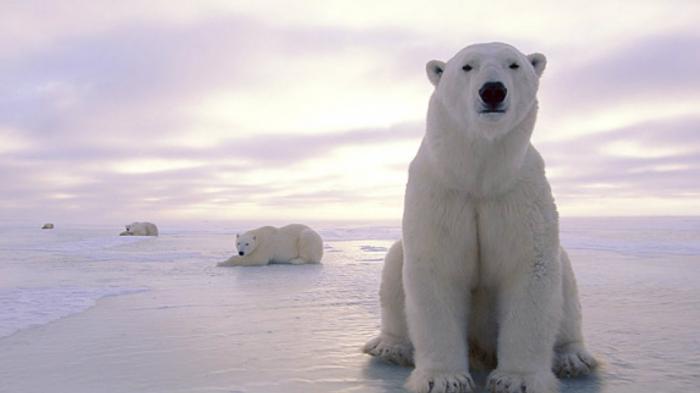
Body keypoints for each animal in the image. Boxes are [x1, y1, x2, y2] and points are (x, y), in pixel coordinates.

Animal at [360, 43, 596, 392]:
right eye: (467, 66)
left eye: (514, 64)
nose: (493, 90)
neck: (479, 178)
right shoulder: (442, 194)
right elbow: (436, 270)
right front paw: (444, 380)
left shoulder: (518, 196)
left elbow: (529, 268)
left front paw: (517, 380)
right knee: (393, 264)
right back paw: (390, 347)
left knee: (564, 277)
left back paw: (574, 358)